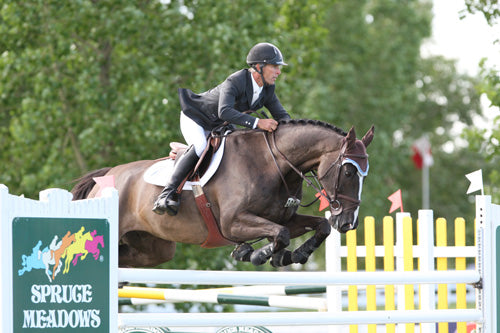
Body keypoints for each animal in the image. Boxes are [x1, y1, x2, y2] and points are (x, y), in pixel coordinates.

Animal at [70, 119, 376, 268]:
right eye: (349, 172)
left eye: (365, 174)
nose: (348, 223)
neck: (272, 162)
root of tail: (100, 180)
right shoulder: (233, 222)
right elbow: (280, 234)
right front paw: (257, 254)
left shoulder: (284, 218)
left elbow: (318, 226)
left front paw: (291, 256)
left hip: (154, 248)